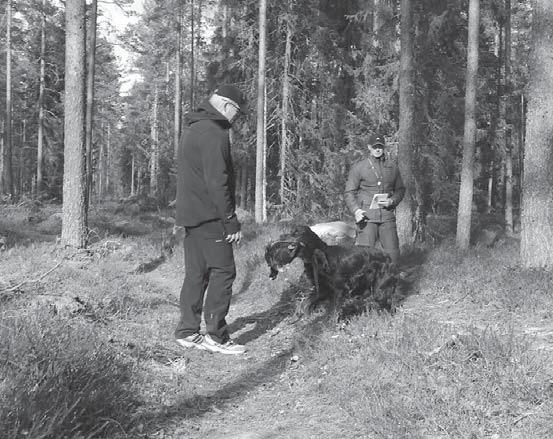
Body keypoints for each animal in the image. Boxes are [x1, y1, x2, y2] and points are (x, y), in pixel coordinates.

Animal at [266, 227, 404, 320]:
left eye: (296, 233)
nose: (281, 236)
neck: (317, 258)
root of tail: (388, 257)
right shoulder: (322, 289)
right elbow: (305, 302)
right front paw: (299, 313)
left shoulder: (341, 289)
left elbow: (335, 309)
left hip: (380, 288)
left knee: (388, 304)